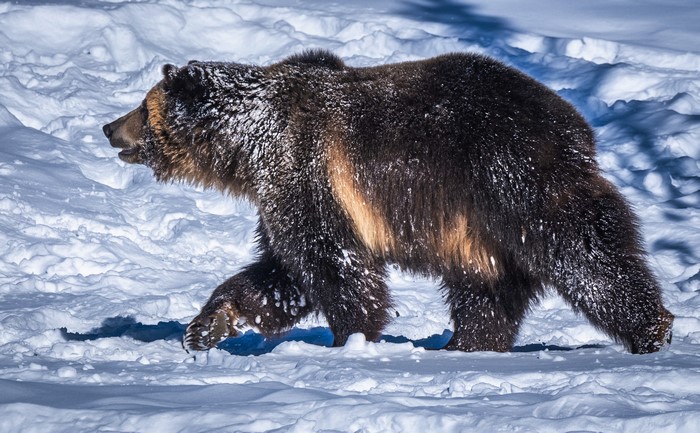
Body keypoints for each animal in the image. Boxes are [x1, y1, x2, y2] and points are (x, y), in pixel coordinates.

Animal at [103, 49, 673, 354]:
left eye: (143, 107)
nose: (110, 127)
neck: (250, 143)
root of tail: (577, 127)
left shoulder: (308, 171)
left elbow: (333, 264)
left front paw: (350, 339)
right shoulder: (282, 192)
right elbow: (280, 273)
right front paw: (206, 327)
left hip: (514, 181)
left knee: (589, 257)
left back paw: (652, 330)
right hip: (477, 230)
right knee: (487, 290)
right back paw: (465, 345)